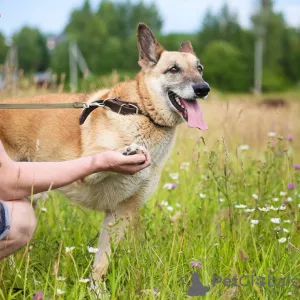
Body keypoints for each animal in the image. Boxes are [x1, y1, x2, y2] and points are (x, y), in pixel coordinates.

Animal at [0, 22, 210, 284]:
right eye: (174, 69)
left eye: (200, 69)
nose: (203, 88)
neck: (141, 111)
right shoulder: (87, 169)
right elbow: (104, 159)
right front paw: (127, 150)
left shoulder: (119, 212)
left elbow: (101, 264)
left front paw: (96, 289)